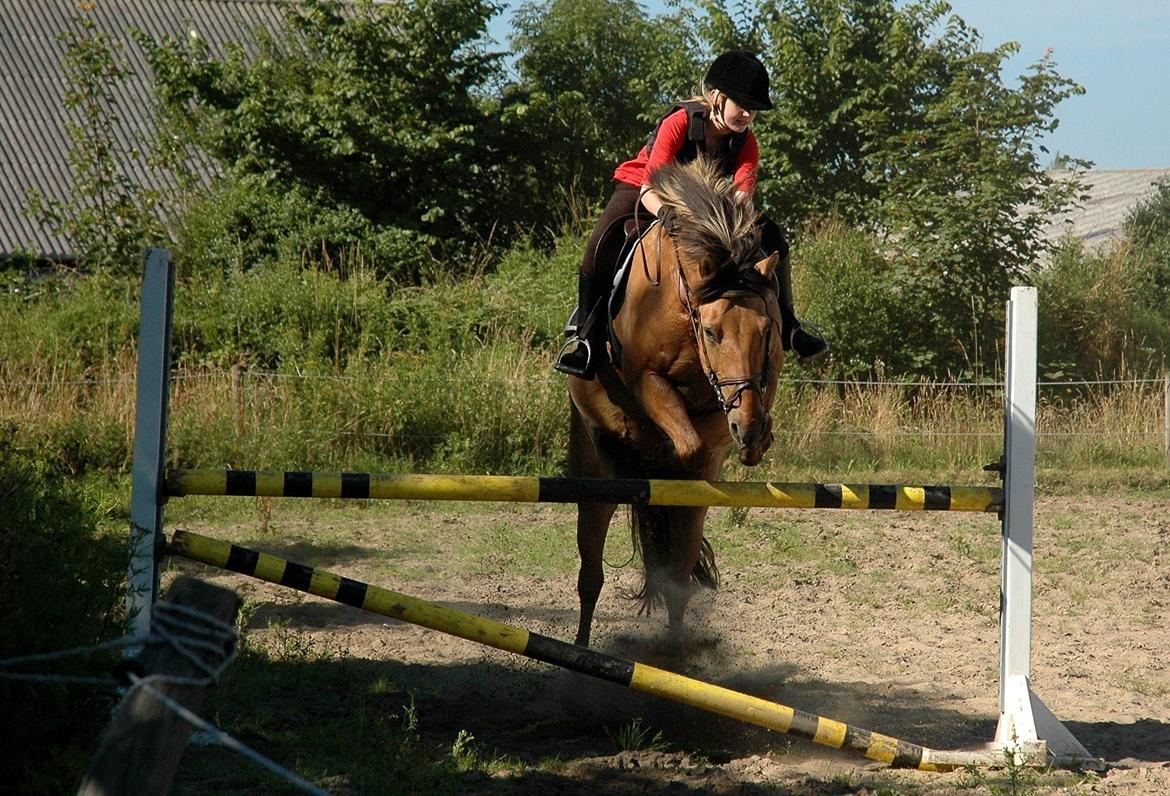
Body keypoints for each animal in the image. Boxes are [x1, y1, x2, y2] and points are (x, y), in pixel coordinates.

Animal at [568, 155, 786, 646]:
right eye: (711, 331)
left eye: (766, 331)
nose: (748, 428)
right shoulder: (645, 379)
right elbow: (682, 436)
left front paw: (753, 440)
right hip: (594, 472)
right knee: (591, 575)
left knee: (678, 576)